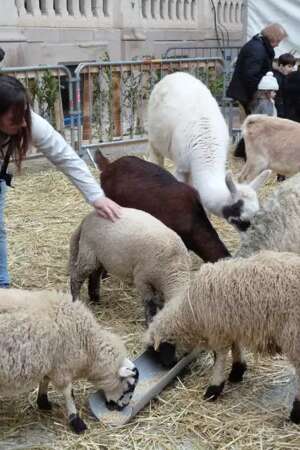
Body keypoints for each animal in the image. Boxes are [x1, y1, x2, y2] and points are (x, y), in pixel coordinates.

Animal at [0, 288, 138, 432]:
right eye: (129, 386)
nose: (122, 408)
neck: (90, 346)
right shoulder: (63, 367)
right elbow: (68, 393)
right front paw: (76, 421)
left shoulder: (52, 363)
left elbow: (45, 380)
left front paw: (43, 402)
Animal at [145, 251, 300, 424]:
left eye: (158, 351)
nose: (166, 366)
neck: (190, 312)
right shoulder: (230, 324)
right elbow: (235, 345)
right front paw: (238, 370)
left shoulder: (217, 329)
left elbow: (220, 355)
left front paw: (214, 388)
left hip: (294, 335)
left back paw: (296, 414)